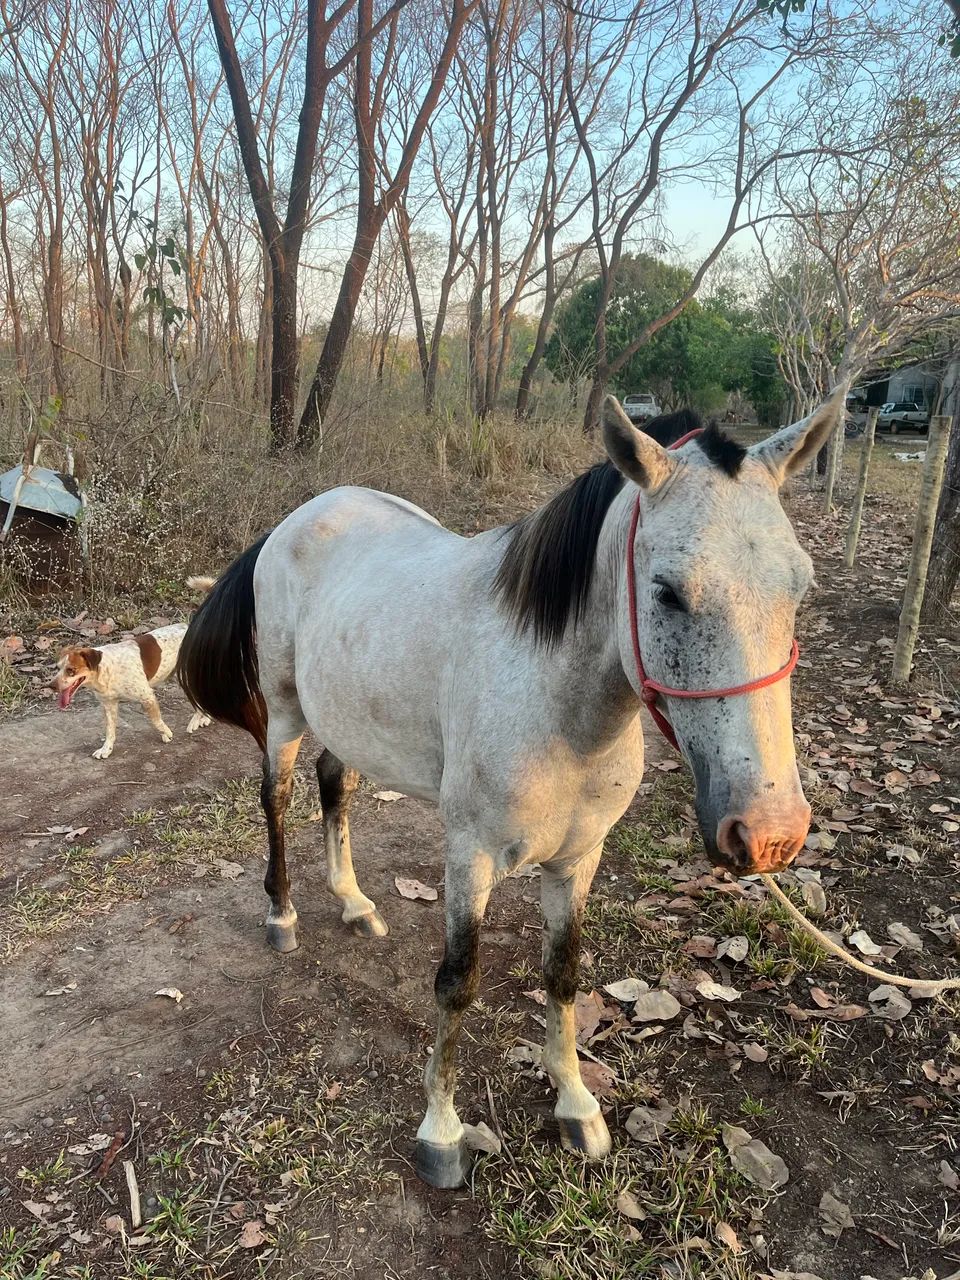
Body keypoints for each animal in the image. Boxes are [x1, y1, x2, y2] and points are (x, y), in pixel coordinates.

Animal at [177, 391, 841, 1189]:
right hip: (283, 714)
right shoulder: (470, 856)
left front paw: (577, 1105)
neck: (554, 702)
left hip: (348, 719)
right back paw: (283, 914)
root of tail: (296, 518)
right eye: (667, 591)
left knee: (334, 790)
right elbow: (457, 983)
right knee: (275, 802)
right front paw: (441, 1134)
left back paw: (355, 903)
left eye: (800, 586)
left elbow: (563, 976)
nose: (769, 833)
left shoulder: (578, 861)